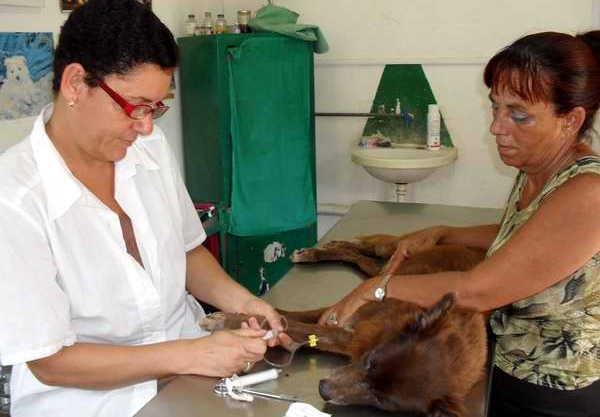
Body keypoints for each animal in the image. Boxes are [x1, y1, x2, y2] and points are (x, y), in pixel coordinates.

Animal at [202, 234, 488, 416]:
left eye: (380, 399)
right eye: (370, 361)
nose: (323, 389)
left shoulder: (346, 336)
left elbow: (299, 327)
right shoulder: (342, 313)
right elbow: (287, 316)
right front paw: (228, 319)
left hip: (381, 274)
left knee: (365, 261)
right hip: (392, 257)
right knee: (371, 251)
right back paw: (320, 249)